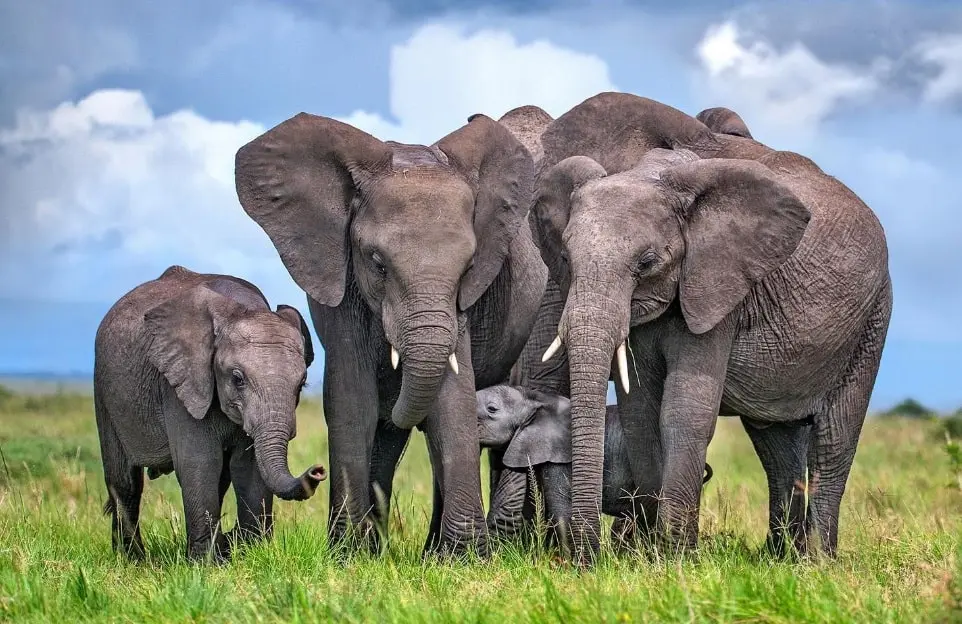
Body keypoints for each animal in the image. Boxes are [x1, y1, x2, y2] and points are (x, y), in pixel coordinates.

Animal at [94, 264, 326, 560]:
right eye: (237, 379)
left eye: (302, 384)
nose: (318, 470)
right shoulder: (180, 384)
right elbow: (200, 461)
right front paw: (205, 563)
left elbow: (248, 466)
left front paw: (249, 551)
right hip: (104, 390)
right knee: (125, 481)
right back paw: (132, 560)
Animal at [232, 111, 548, 556]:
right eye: (377, 262)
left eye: (469, 268)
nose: (315, 472)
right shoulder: (342, 282)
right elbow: (351, 401)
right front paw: (348, 556)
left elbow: (453, 398)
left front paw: (466, 558)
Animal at [528, 90, 888, 564]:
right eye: (566, 257)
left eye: (647, 263)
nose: (588, 560)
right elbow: (640, 410)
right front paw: (649, 555)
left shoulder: (720, 284)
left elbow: (684, 410)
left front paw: (676, 556)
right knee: (774, 443)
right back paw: (780, 558)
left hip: (871, 319)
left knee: (834, 438)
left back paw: (817, 562)